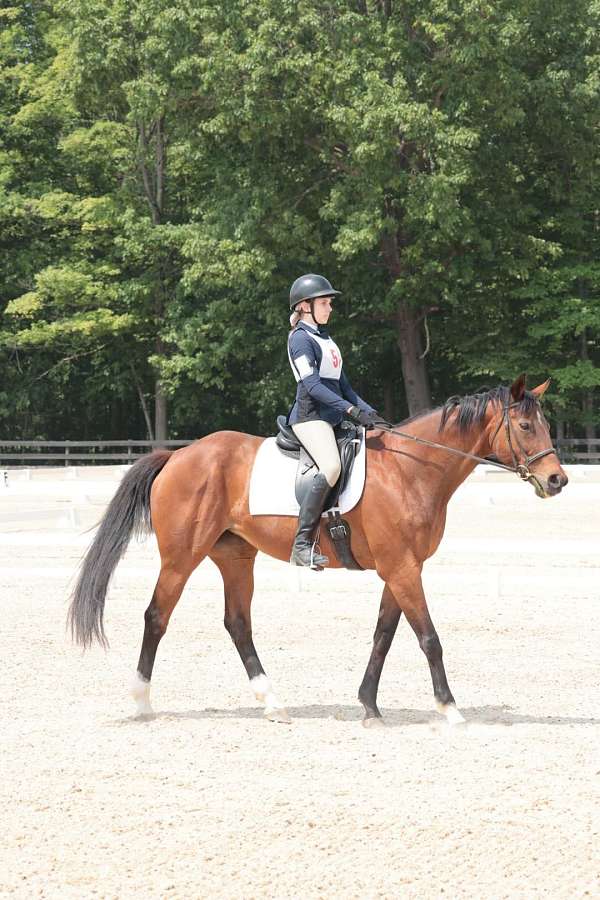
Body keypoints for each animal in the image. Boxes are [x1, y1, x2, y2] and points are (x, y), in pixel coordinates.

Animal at [68, 374, 568, 727]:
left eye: (545, 425)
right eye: (525, 426)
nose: (557, 480)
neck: (411, 469)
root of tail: (178, 455)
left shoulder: (401, 568)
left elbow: (384, 635)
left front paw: (369, 706)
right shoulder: (402, 568)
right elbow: (428, 637)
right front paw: (449, 708)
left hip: (235, 556)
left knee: (238, 624)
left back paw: (273, 704)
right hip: (180, 557)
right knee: (157, 616)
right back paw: (141, 702)